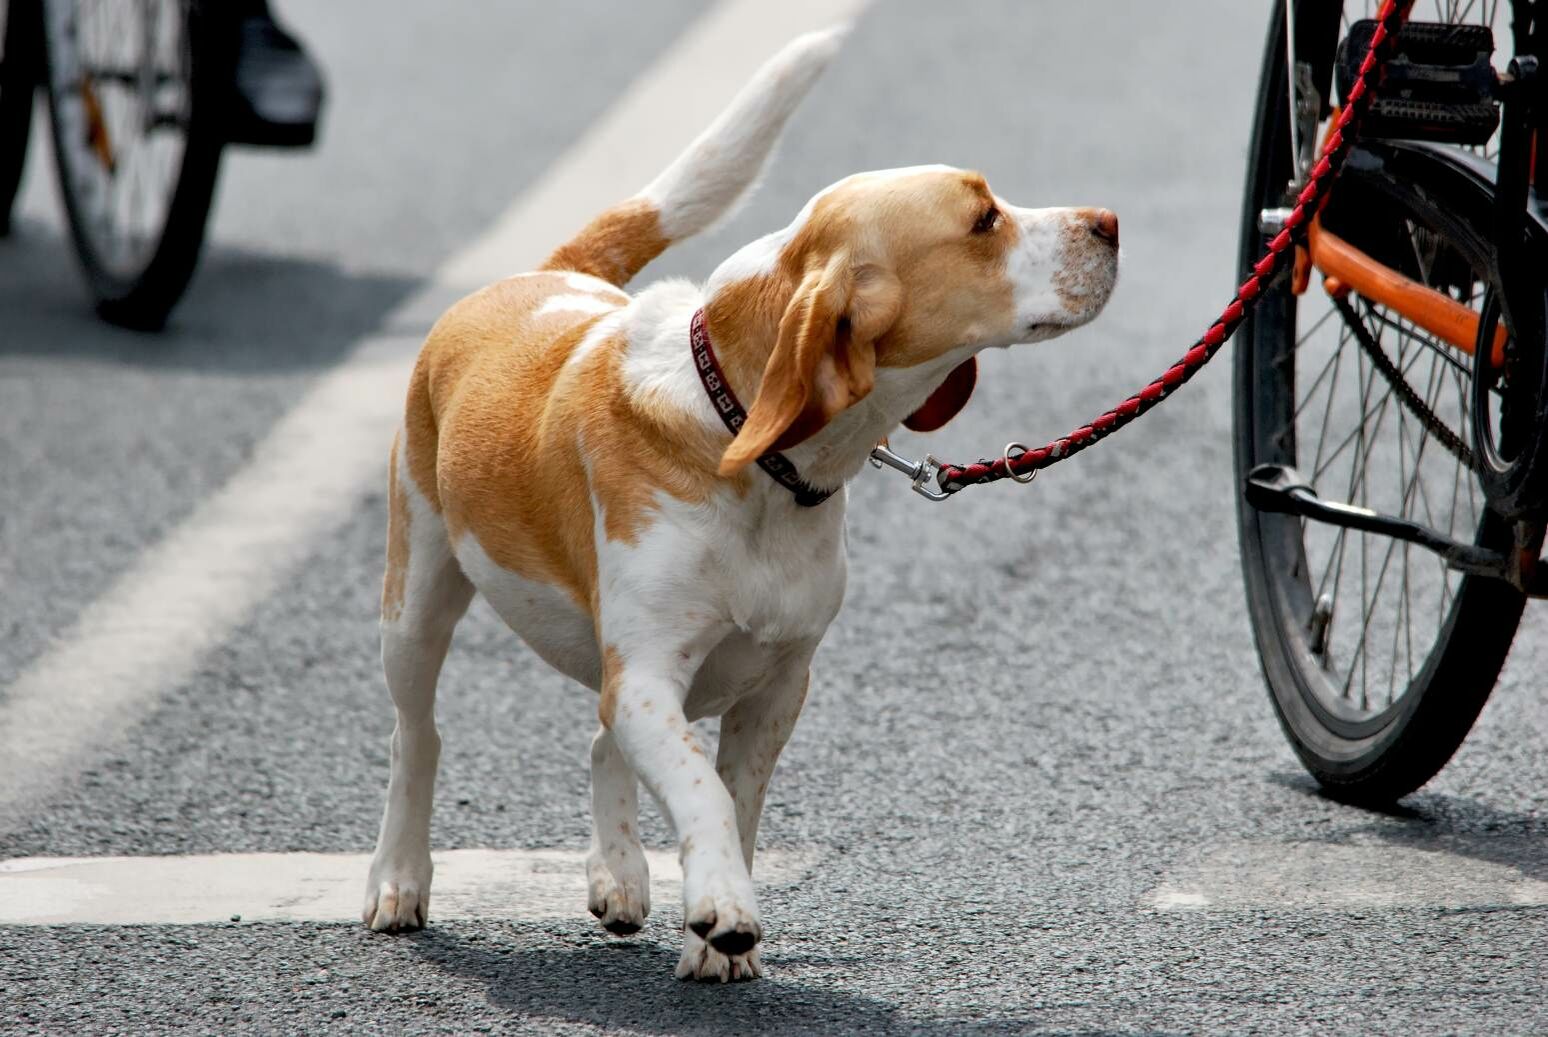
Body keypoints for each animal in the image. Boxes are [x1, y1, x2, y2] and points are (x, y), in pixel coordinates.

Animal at [362, 22, 1114, 984]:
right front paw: (721, 909)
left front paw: (713, 933)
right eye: (984, 220)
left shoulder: (775, 685)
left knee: (598, 740)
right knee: (415, 737)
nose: (1109, 223)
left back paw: (618, 874)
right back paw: (398, 879)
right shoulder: (650, 675)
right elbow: (704, 794)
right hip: (417, 600)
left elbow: (732, 798)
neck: (758, 465)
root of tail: (546, 274)